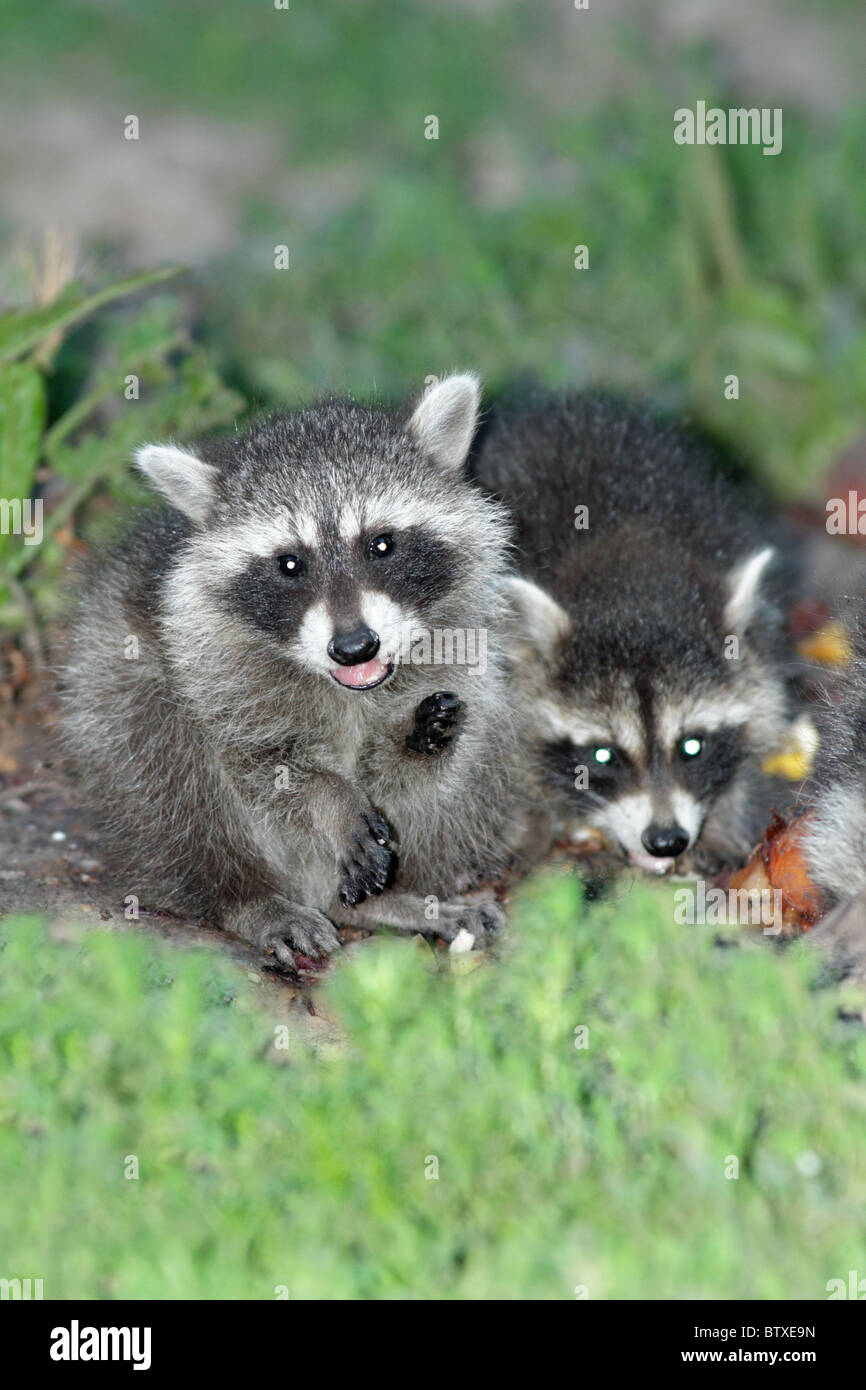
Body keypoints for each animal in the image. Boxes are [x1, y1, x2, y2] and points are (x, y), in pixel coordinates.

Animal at [59, 375, 530, 968]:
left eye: (381, 543)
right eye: (290, 563)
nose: (353, 647)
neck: (349, 688)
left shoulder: (458, 654)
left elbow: (426, 769)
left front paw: (413, 740)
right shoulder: (210, 670)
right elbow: (260, 766)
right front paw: (329, 798)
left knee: (488, 746)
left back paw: (394, 901)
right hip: (112, 684)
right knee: (167, 764)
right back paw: (245, 897)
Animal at [472, 392, 801, 877]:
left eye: (692, 746)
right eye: (602, 755)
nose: (665, 841)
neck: (629, 570)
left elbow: (760, 718)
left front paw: (723, 821)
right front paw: (527, 824)